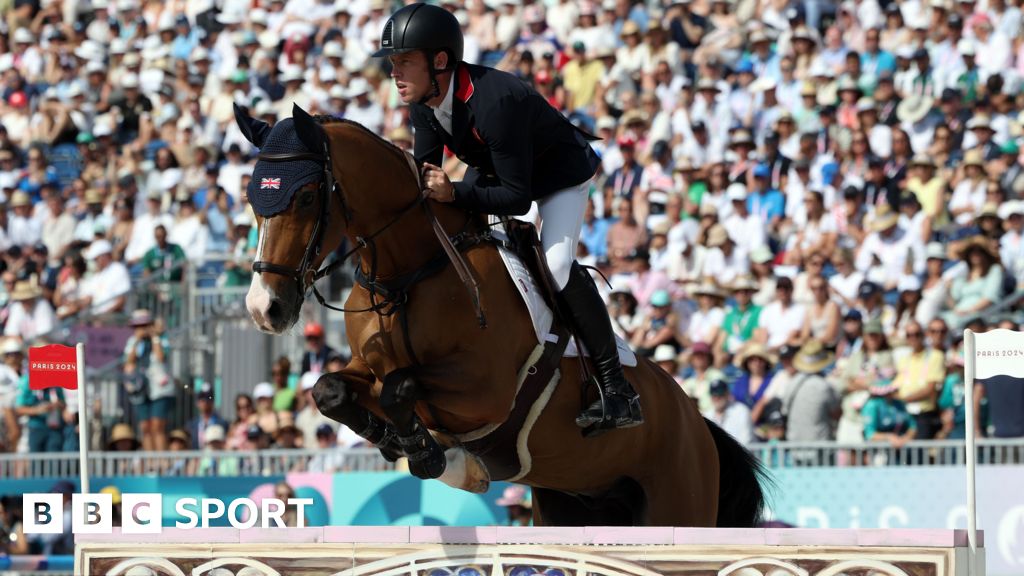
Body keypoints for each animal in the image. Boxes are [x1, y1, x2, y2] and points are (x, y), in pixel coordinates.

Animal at [235, 103, 765, 524]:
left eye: (306, 196)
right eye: (252, 198)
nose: (265, 309)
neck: (411, 273)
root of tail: (696, 422)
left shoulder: (486, 393)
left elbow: (400, 387)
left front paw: (435, 457)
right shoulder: (369, 366)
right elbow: (333, 390)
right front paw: (394, 441)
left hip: (678, 500)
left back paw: (616, 405)